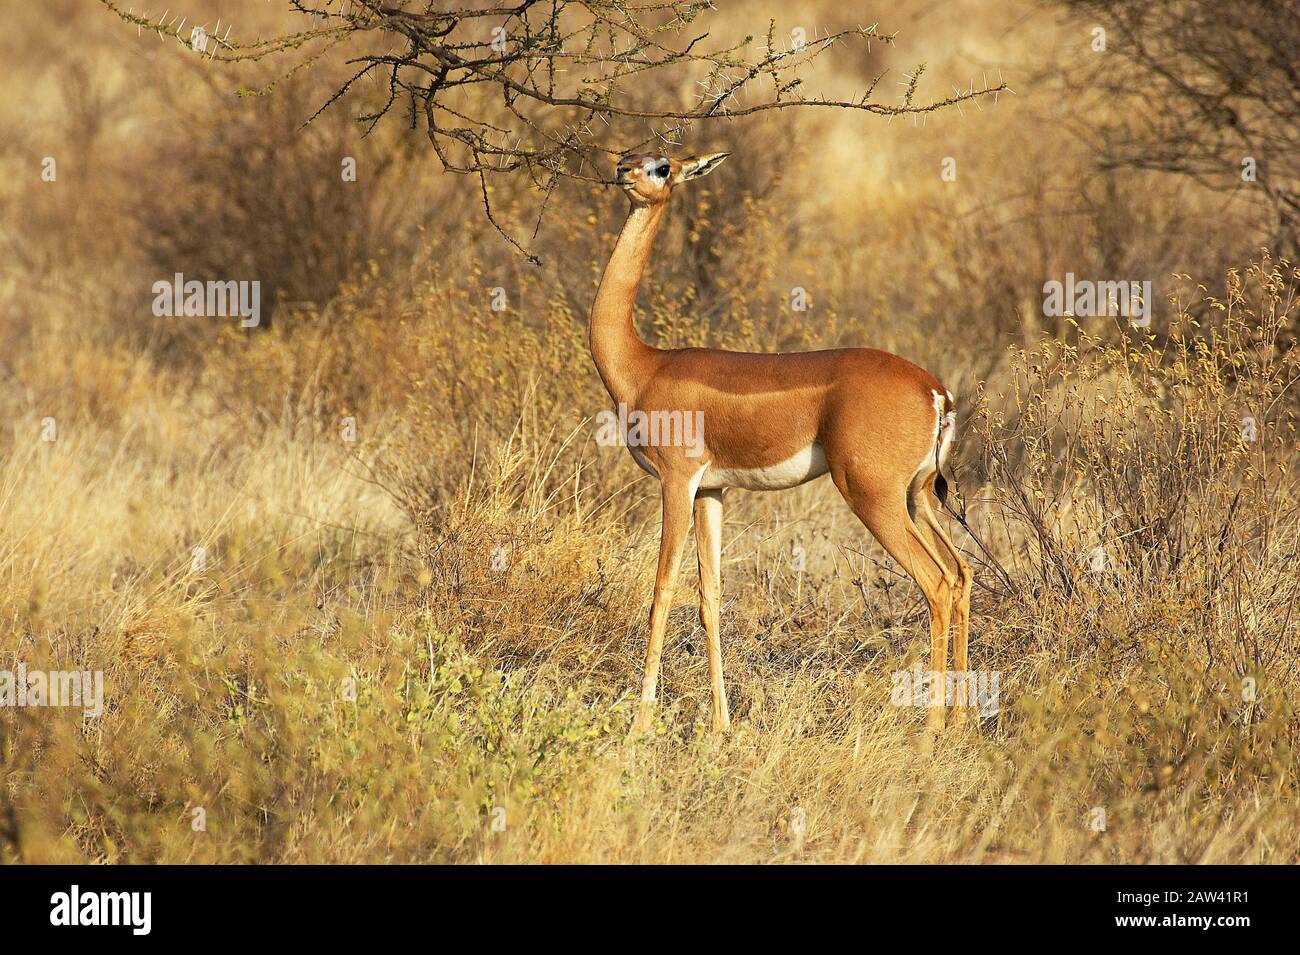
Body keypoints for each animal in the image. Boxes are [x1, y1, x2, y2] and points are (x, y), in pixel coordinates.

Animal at [592, 152, 972, 736]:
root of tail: (936, 392)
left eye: (662, 167)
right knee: (960, 573)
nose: (623, 175)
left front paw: (639, 726)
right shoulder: (711, 491)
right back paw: (962, 721)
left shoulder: (677, 482)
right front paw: (722, 726)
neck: (644, 367)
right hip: (920, 495)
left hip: (873, 497)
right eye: (626, 155)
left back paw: (931, 728)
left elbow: (661, 590)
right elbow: (710, 595)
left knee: (934, 582)